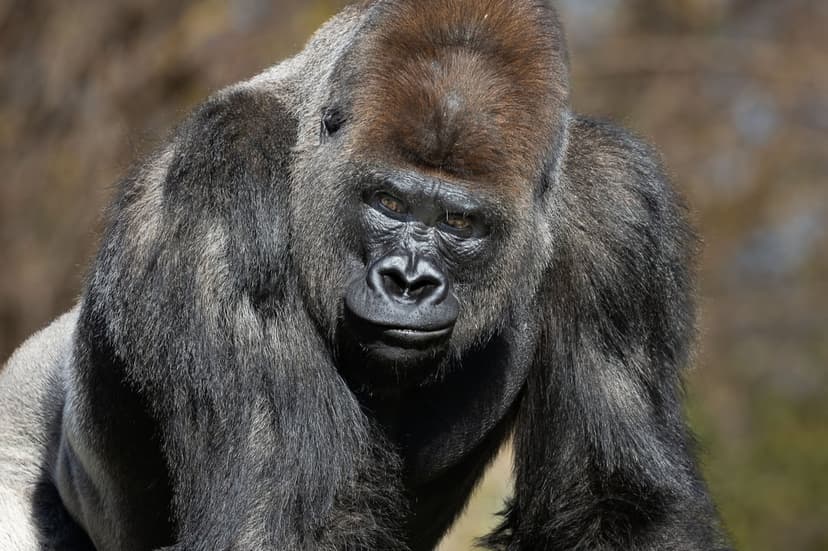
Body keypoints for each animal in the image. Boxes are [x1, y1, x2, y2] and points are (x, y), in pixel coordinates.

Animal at [0, 1, 731, 549]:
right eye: (388, 203)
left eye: (460, 222)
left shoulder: (617, 206)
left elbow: (620, 505)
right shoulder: (224, 176)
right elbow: (287, 508)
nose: (408, 282)